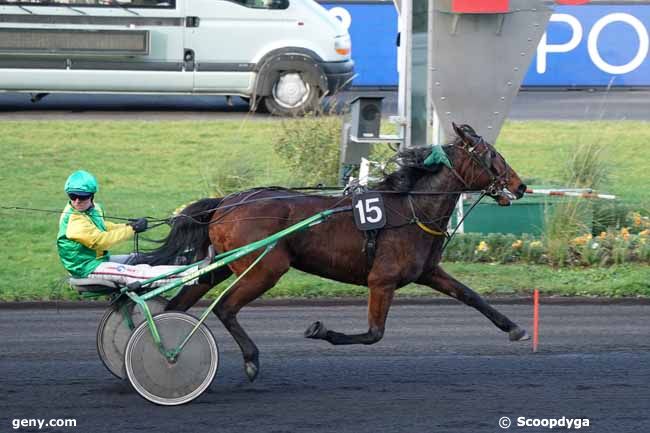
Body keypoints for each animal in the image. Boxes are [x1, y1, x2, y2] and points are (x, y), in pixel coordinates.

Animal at [137, 122, 528, 382]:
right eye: (493, 156)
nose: (521, 185)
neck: (411, 208)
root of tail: (225, 203)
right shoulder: (382, 280)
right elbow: (374, 333)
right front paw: (320, 329)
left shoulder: (428, 272)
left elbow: (472, 296)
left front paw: (515, 328)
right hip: (266, 267)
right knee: (226, 308)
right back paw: (248, 359)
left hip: (221, 264)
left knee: (177, 306)